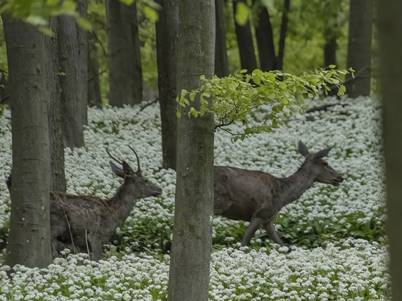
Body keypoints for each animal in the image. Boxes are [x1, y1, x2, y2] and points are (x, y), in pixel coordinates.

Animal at [5, 147, 160, 258]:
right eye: (145, 180)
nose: (159, 189)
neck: (114, 214)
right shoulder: (95, 234)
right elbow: (97, 258)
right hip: (56, 224)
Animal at [214, 140, 342, 244]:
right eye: (325, 163)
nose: (340, 178)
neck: (283, 196)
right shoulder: (261, 213)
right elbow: (244, 242)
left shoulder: (268, 219)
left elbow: (281, 243)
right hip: (217, 203)